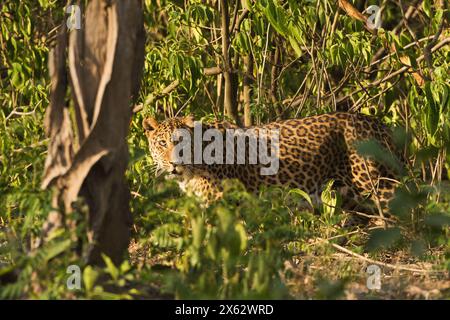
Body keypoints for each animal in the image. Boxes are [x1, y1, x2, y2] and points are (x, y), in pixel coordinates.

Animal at [143, 112, 404, 215]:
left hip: (374, 182)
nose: (174, 163)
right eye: (162, 143)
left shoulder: (217, 202)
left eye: (182, 142)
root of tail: (377, 122)